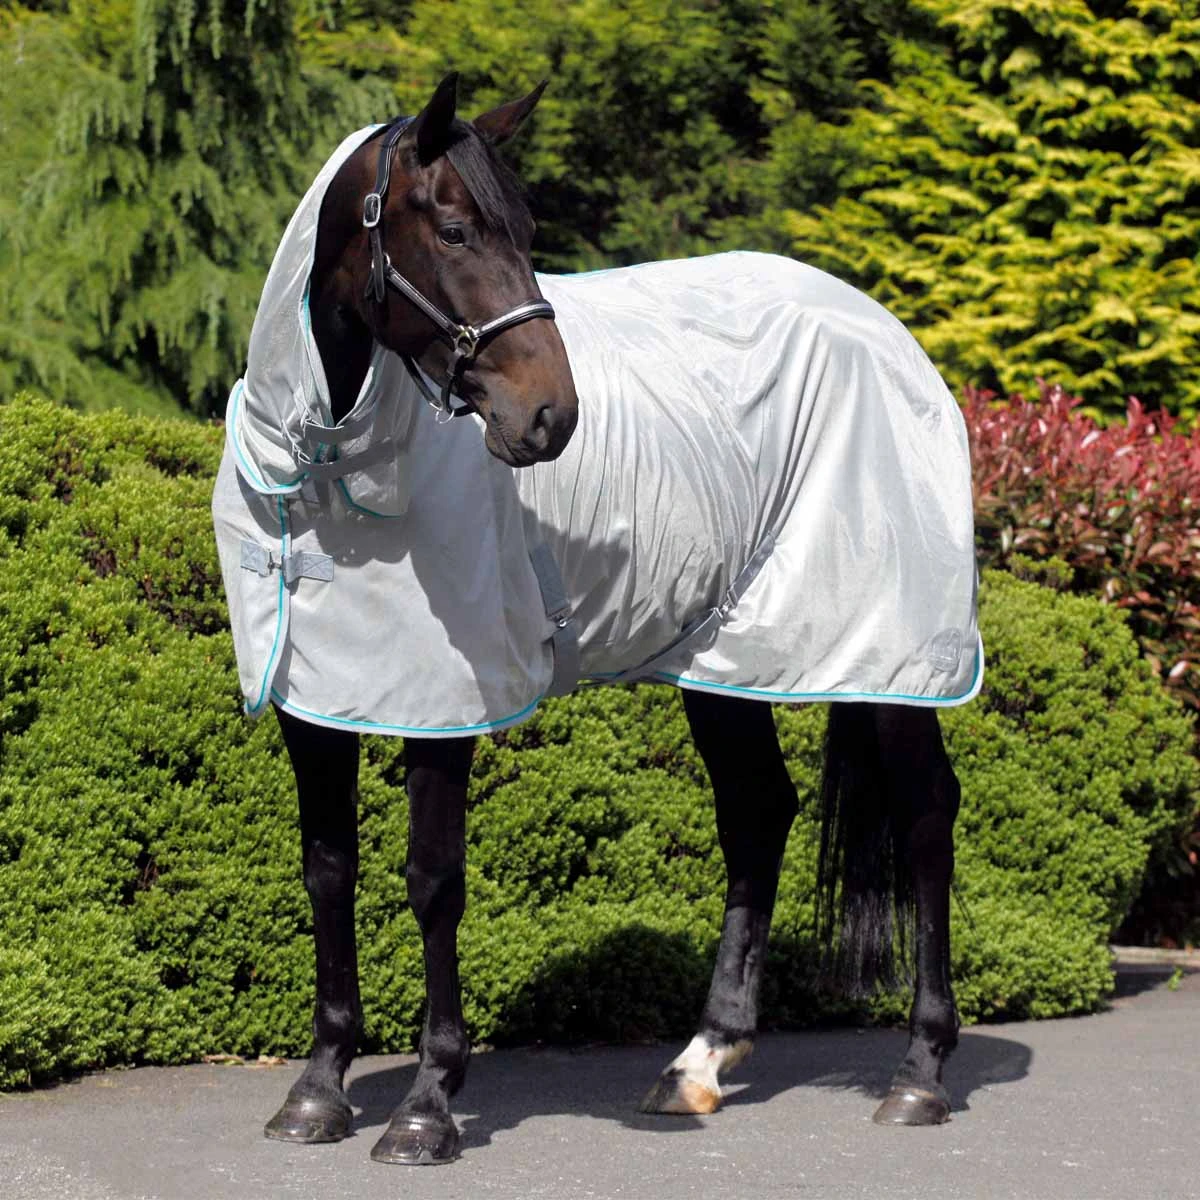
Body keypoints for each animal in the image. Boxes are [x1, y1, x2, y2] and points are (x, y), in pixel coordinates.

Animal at [211, 73, 979, 1165]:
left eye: (530, 231)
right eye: (453, 226)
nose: (551, 417)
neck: (330, 465)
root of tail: (884, 331)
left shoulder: (445, 706)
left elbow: (433, 879)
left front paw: (427, 1105)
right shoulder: (313, 703)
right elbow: (328, 872)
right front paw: (317, 1090)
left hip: (889, 661)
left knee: (924, 819)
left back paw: (919, 1071)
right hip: (727, 663)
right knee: (759, 814)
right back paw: (700, 1062)